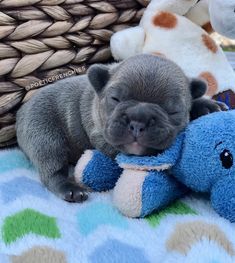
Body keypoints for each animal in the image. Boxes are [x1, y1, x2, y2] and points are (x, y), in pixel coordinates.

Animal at [15, 53, 226, 202]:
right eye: (115, 99)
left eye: (173, 111)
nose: (138, 120)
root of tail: (21, 112)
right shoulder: (102, 137)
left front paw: (207, 106)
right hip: (43, 133)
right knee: (51, 168)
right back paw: (70, 188)